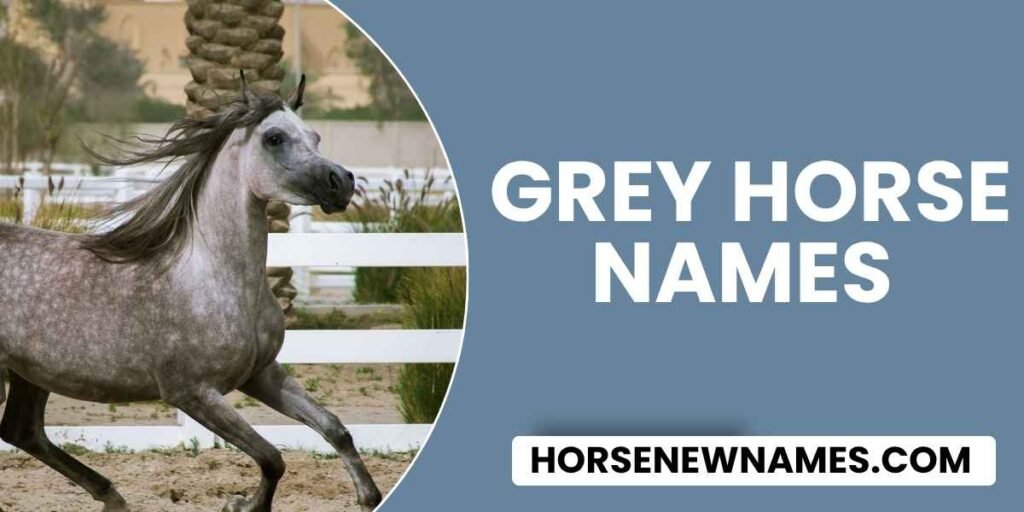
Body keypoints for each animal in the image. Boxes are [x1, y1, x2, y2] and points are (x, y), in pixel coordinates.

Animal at [0, 73, 382, 512]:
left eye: (315, 136)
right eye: (274, 138)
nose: (342, 183)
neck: (215, 279)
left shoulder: (261, 375)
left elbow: (334, 428)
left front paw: (368, 496)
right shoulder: (192, 393)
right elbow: (272, 457)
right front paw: (241, 504)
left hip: (33, 372)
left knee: (23, 431)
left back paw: (113, 497)